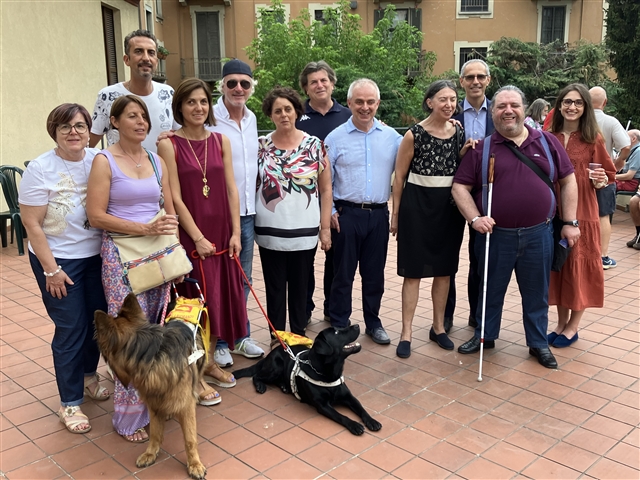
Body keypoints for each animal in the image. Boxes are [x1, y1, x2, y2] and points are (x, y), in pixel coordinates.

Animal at [93, 294, 205, 478]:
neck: (152, 357)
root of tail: (183, 298)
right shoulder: (153, 402)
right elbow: (155, 433)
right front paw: (150, 453)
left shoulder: (185, 406)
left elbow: (190, 439)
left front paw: (194, 464)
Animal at [232, 324, 380, 434]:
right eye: (337, 332)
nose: (357, 325)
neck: (327, 374)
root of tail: (271, 353)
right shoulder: (323, 405)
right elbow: (341, 416)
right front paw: (354, 425)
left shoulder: (349, 396)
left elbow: (361, 408)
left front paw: (372, 421)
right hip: (275, 368)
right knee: (257, 376)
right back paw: (261, 386)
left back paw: (284, 387)